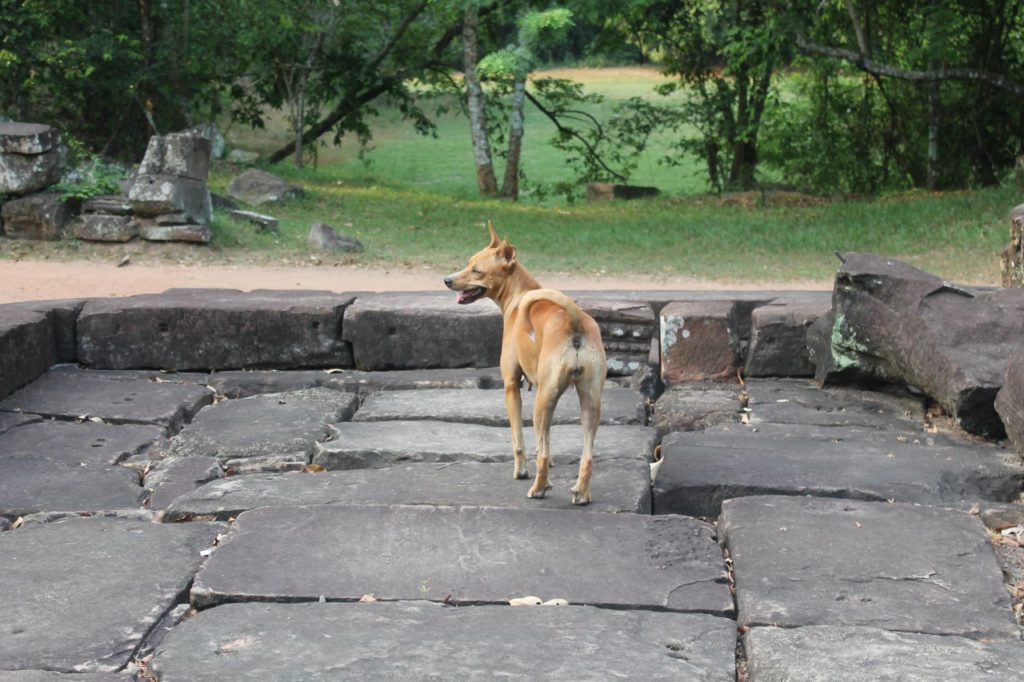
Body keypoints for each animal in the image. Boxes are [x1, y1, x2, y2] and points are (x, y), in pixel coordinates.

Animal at [442, 220, 602, 501]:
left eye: (476, 270)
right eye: (468, 263)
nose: (447, 280)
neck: (521, 296)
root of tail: (575, 323)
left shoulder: (510, 385)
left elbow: (519, 439)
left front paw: (521, 470)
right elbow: (545, 440)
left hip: (542, 403)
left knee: (542, 452)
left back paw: (538, 488)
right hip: (588, 403)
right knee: (586, 455)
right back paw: (581, 493)